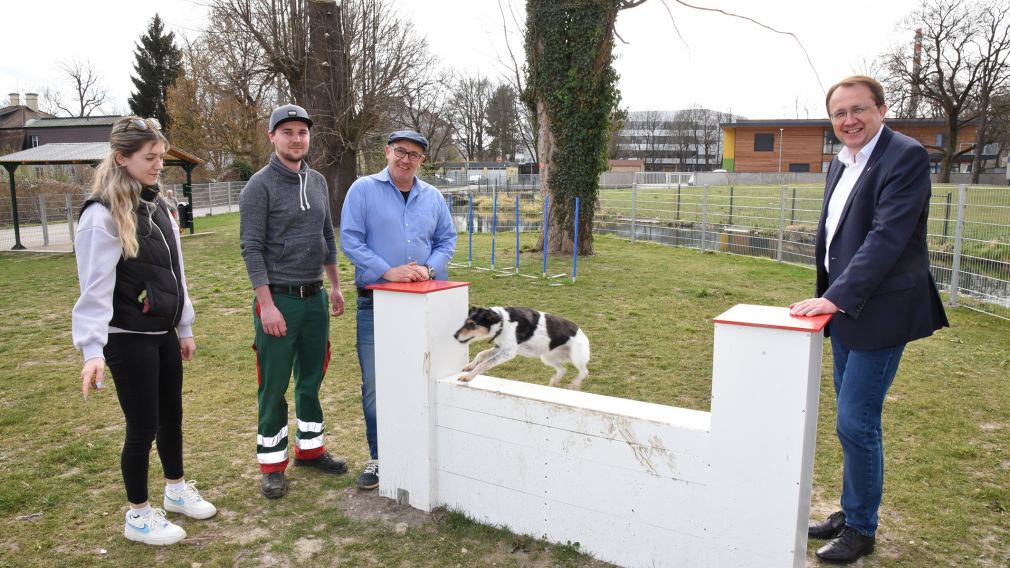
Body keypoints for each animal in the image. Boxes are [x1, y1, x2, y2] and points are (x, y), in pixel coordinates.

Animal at [452, 305, 589, 388]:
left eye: (472, 324)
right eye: (465, 322)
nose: (454, 335)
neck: (502, 323)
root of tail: (581, 332)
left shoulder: (508, 352)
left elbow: (484, 364)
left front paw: (468, 377)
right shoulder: (500, 347)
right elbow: (481, 354)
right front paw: (469, 366)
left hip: (577, 358)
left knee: (584, 372)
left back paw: (574, 384)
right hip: (547, 357)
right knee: (562, 370)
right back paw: (554, 381)